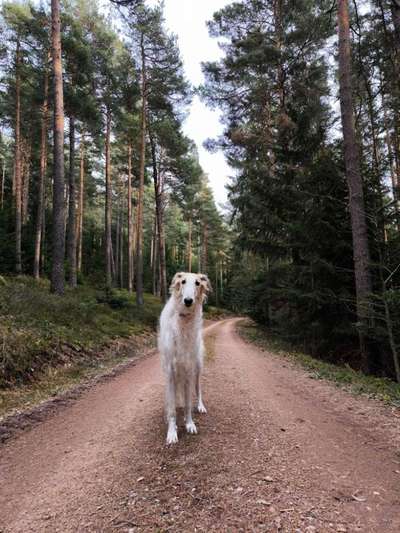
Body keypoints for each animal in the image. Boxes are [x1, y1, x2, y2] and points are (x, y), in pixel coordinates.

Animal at [158, 272, 211, 442]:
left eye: (197, 283)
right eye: (182, 281)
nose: (188, 301)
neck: (184, 320)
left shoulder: (188, 370)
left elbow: (188, 404)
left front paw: (189, 424)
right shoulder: (170, 371)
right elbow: (172, 409)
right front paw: (172, 432)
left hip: (198, 367)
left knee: (198, 389)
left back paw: (200, 406)